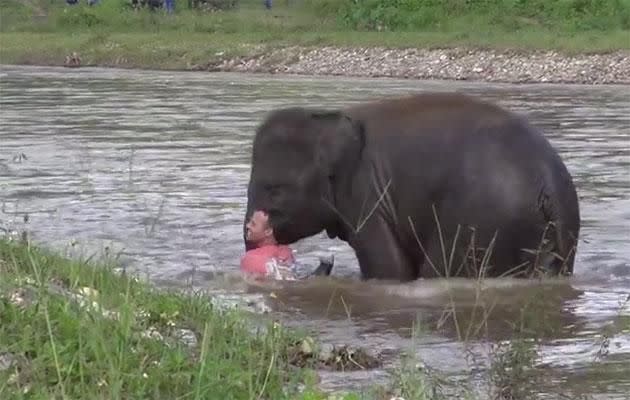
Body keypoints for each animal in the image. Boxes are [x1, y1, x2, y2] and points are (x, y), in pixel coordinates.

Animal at [242, 92, 584, 282]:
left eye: (274, 189)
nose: (254, 229)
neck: (330, 119)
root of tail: (548, 188)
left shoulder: (367, 196)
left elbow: (389, 269)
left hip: (481, 224)